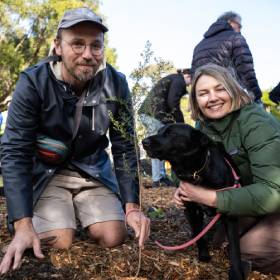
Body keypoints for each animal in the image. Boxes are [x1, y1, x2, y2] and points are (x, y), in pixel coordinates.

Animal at [143, 123, 246, 280]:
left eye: (170, 133)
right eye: (159, 131)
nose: (143, 142)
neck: (195, 172)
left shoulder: (230, 214)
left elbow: (234, 247)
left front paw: (236, 273)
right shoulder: (191, 209)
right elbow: (199, 233)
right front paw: (203, 254)